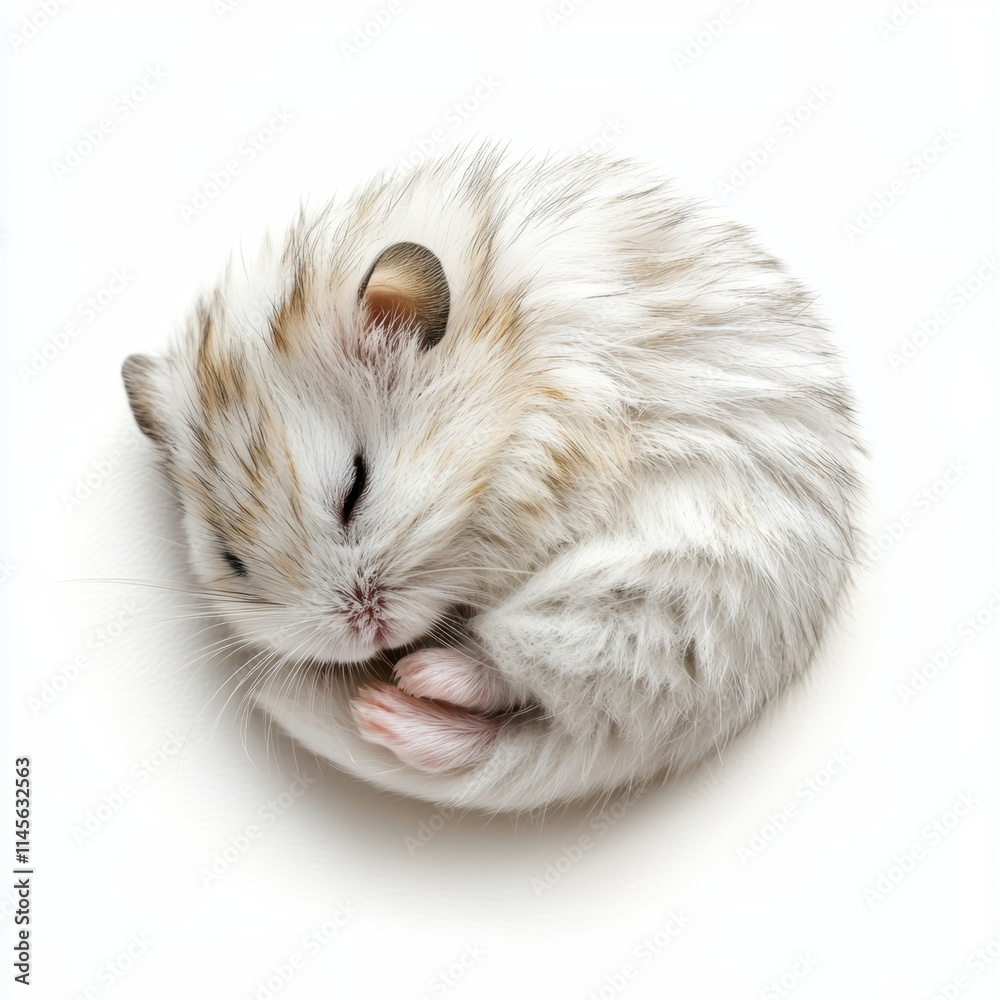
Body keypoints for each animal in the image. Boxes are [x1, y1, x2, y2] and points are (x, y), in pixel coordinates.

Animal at [122, 146, 867, 812]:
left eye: (356, 488)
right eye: (232, 562)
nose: (367, 637)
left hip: (635, 604)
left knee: (514, 681)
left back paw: (408, 686)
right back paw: (387, 711)